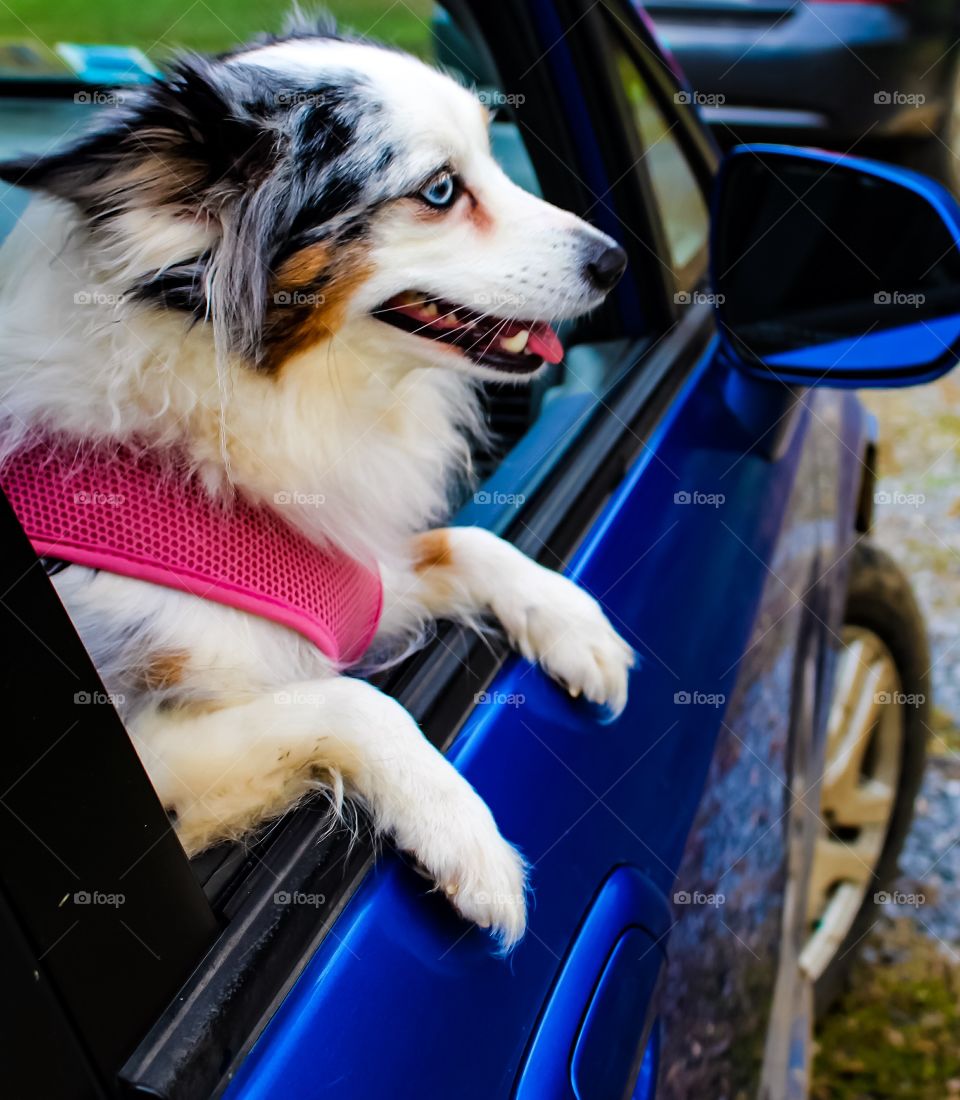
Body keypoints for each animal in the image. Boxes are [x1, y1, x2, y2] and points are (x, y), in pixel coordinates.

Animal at [0, 12, 629, 950]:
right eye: (440, 191)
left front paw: (576, 625)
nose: (617, 261)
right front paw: (469, 842)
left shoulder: (351, 581)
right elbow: (354, 702)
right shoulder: (145, 758)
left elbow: (466, 541)